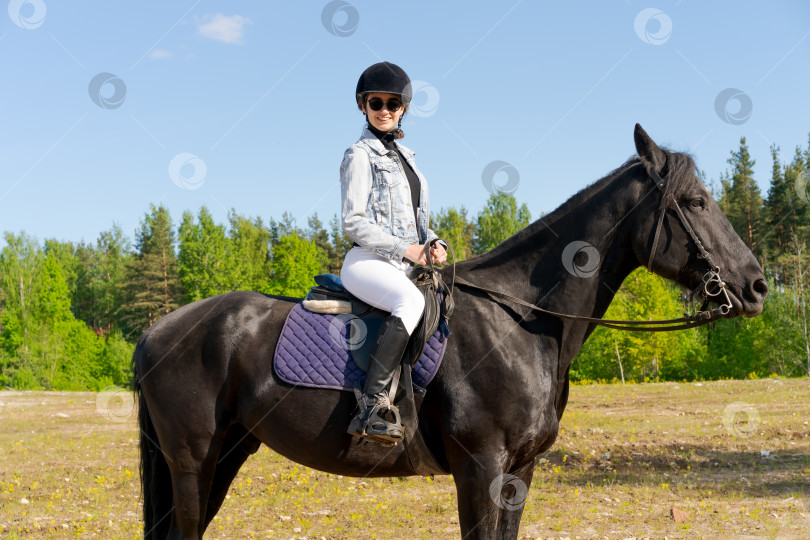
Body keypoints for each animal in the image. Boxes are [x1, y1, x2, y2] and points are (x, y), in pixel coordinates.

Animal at [131, 124, 764, 536]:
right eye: (695, 202)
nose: (756, 287)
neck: (521, 323)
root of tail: (159, 331)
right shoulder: (480, 466)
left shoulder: (519, 470)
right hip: (192, 461)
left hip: (228, 451)